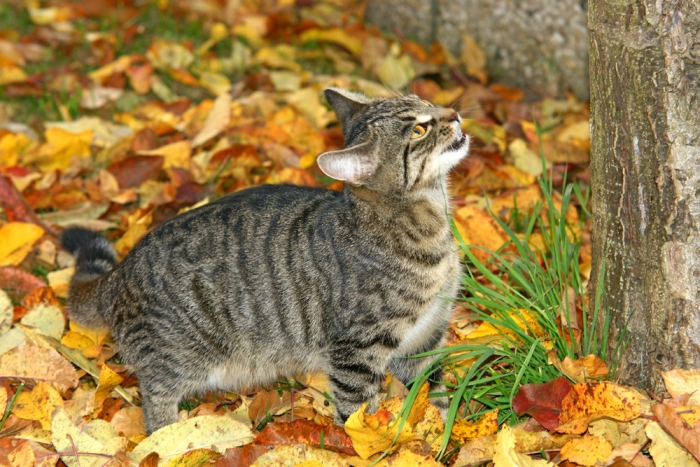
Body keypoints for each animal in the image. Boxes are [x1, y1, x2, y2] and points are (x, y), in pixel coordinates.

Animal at [61, 88, 470, 436]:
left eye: (426, 100)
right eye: (419, 129)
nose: (454, 113)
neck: (429, 230)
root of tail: (119, 272)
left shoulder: (427, 337)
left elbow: (432, 392)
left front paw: (438, 428)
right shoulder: (356, 348)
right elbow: (358, 412)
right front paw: (370, 444)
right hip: (179, 357)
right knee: (156, 398)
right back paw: (162, 439)